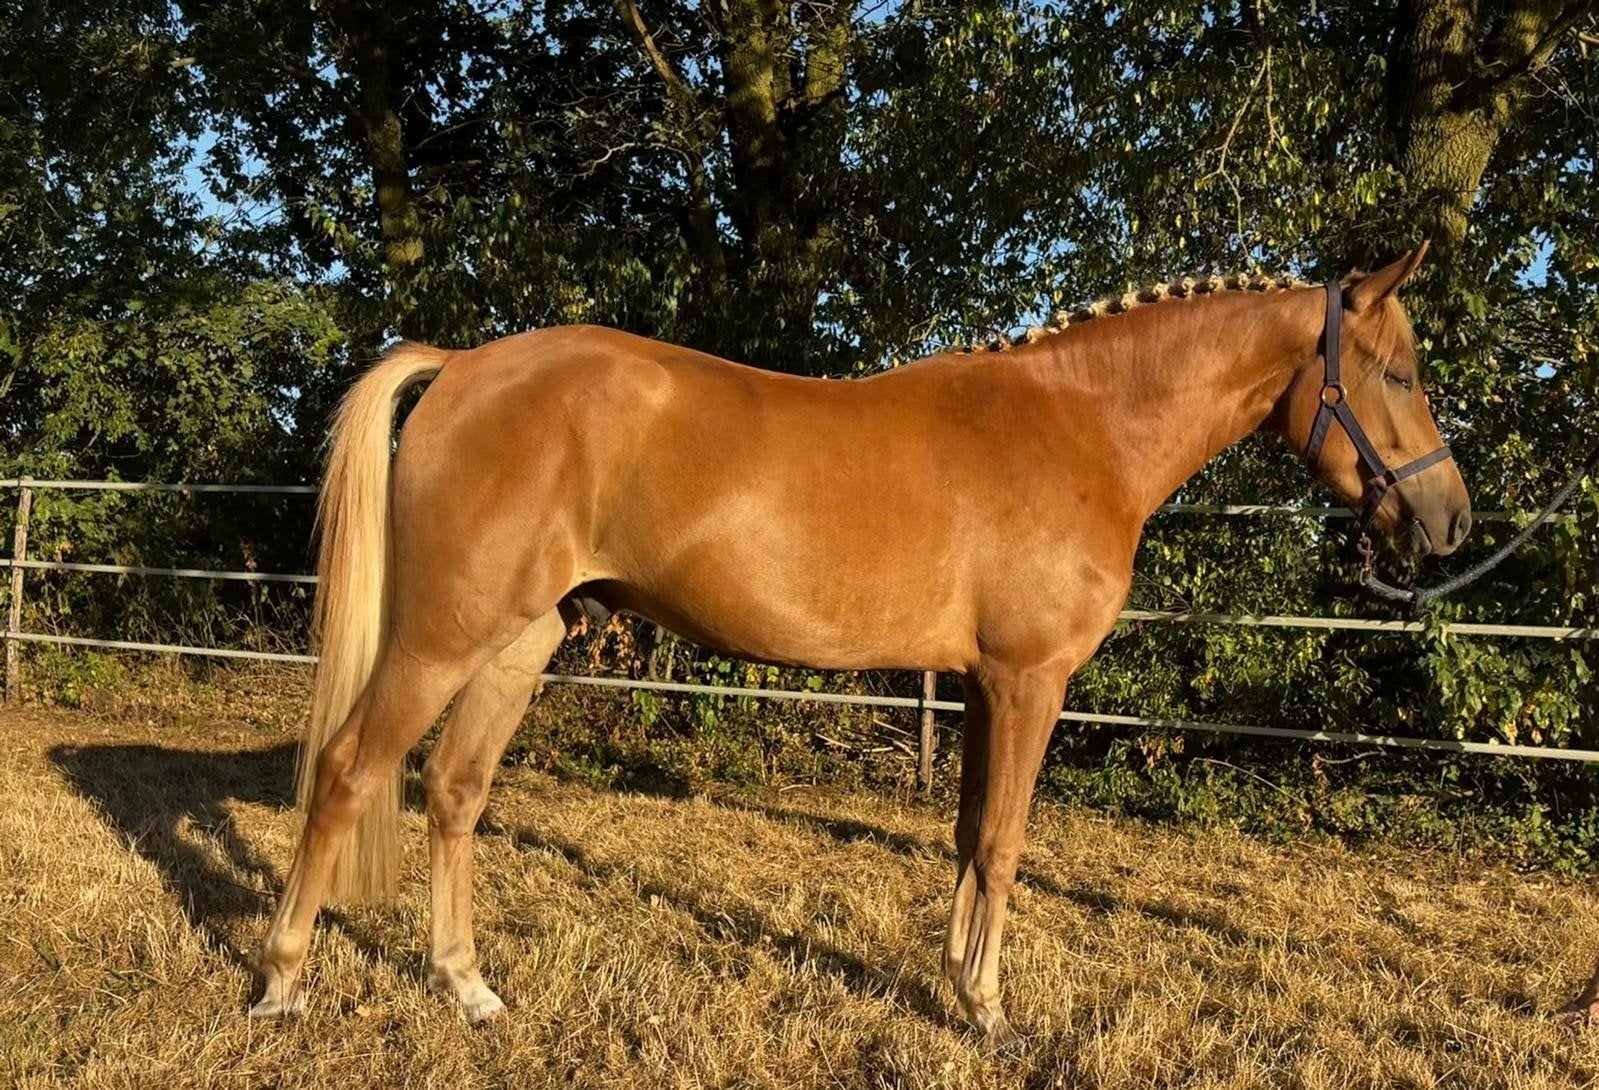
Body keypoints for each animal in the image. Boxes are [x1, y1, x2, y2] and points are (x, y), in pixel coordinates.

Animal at [249, 245, 1473, 1047]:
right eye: (1400, 373)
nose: (1451, 519)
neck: (1082, 426)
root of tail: (463, 365)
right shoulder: (1030, 680)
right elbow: (1004, 845)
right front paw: (992, 1013)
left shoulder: (980, 686)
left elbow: (970, 834)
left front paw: (956, 990)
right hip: (442, 633)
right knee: (351, 768)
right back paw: (282, 983)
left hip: (520, 638)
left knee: (455, 790)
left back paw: (468, 989)